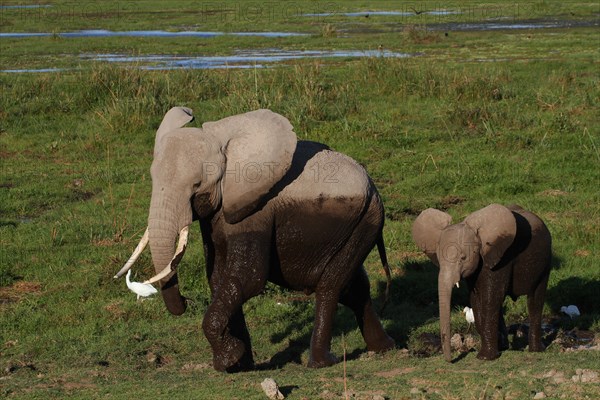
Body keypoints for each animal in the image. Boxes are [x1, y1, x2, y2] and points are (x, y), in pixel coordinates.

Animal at [115, 107, 396, 372]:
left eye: (196, 185)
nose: (184, 300)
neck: (223, 144)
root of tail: (371, 184)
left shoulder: (255, 209)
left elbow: (247, 277)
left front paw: (230, 359)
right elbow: (219, 278)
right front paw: (237, 365)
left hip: (367, 221)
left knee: (330, 286)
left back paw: (323, 362)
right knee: (353, 288)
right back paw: (385, 348)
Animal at [412, 205, 552, 360]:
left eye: (463, 258)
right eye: (438, 259)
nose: (450, 360)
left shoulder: (501, 258)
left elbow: (491, 298)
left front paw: (486, 358)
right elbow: (476, 299)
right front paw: (488, 354)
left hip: (545, 261)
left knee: (535, 299)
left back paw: (536, 350)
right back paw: (504, 346)